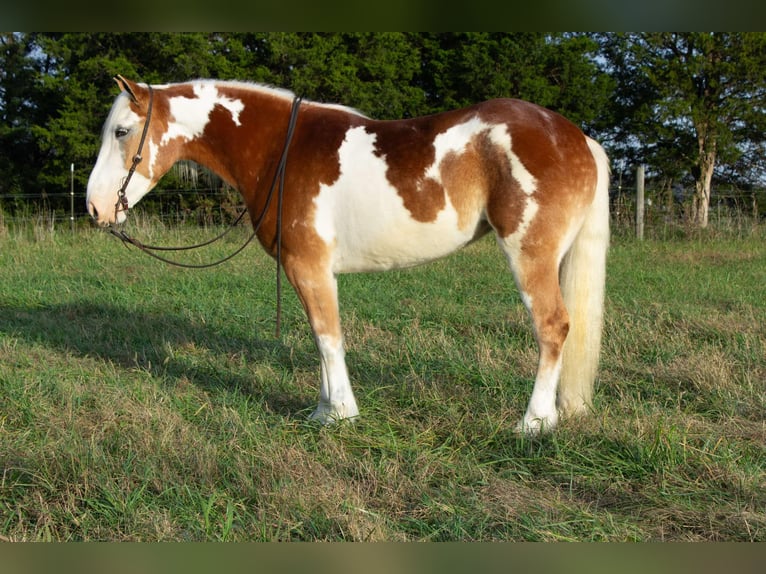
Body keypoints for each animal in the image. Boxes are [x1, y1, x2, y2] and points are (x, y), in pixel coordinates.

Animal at [86, 76, 610, 434]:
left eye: (122, 132)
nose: (94, 208)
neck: (281, 151)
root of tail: (578, 137)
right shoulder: (310, 271)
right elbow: (320, 337)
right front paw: (322, 410)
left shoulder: (309, 267)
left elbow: (327, 337)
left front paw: (340, 413)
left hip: (530, 255)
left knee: (552, 328)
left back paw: (533, 423)